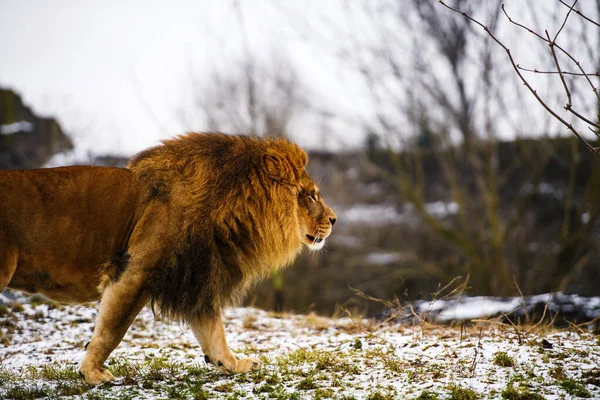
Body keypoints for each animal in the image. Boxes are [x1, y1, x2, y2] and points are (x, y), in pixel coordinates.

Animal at [0, 133, 338, 386]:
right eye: (311, 195)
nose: (334, 220)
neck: (231, 208)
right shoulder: (136, 272)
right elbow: (110, 331)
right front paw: (92, 373)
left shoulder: (198, 273)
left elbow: (214, 332)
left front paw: (233, 364)